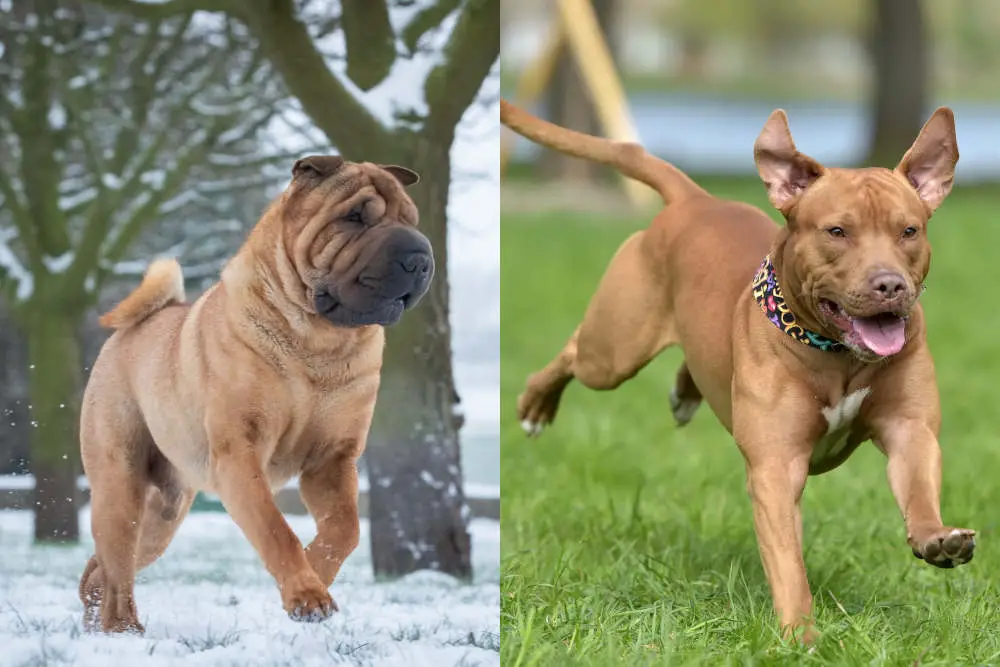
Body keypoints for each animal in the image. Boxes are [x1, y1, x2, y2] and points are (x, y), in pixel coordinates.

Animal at [80, 157, 432, 636]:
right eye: (355, 217)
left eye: (411, 219)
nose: (419, 257)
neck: (318, 342)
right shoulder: (241, 452)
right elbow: (275, 527)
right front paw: (307, 595)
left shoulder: (333, 459)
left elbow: (346, 528)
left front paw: (316, 574)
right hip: (121, 482)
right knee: (117, 565)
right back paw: (121, 628)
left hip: (162, 515)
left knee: (106, 565)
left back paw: (95, 612)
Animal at [504, 100, 972, 640]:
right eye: (837, 231)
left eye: (909, 231)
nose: (890, 284)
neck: (837, 355)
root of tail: (694, 201)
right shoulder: (775, 468)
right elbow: (788, 563)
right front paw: (801, 637)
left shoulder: (908, 429)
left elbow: (917, 486)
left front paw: (937, 538)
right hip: (613, 350)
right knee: (575, 352)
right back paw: (536, 404)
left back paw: (685, 392)